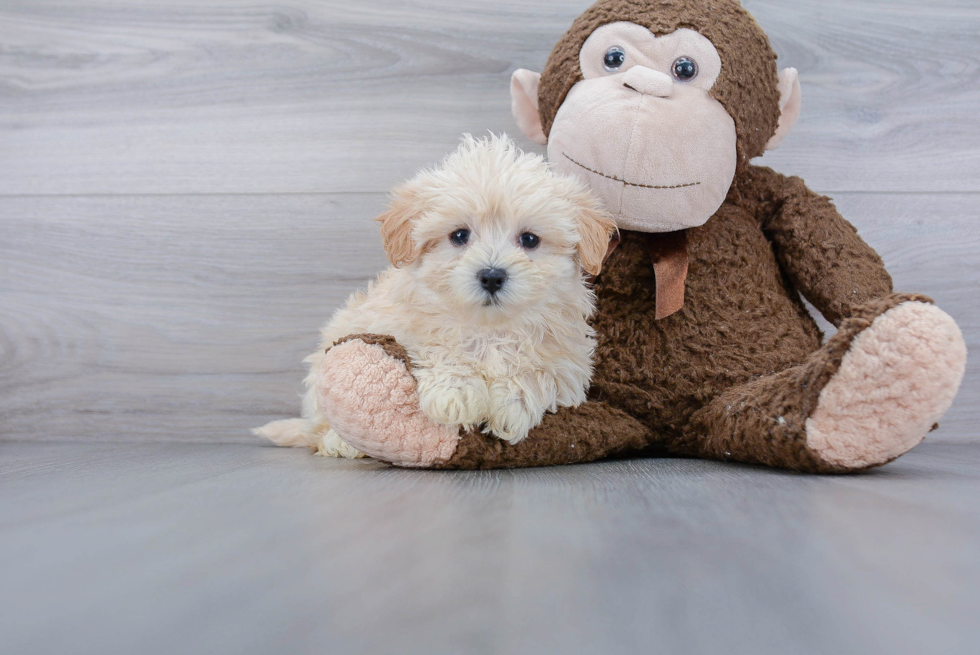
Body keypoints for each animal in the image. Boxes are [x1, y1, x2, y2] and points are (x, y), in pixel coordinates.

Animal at [256, 136, 616, 458]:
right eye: (459, 235)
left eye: (529, 240)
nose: (491, 275)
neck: (489, 330)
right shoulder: (395, 326)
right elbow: (437, 347)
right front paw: (455, 392)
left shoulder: (569, 365)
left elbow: (539, 372)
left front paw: (512, 404)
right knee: (318, 427)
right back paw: (340, 443)